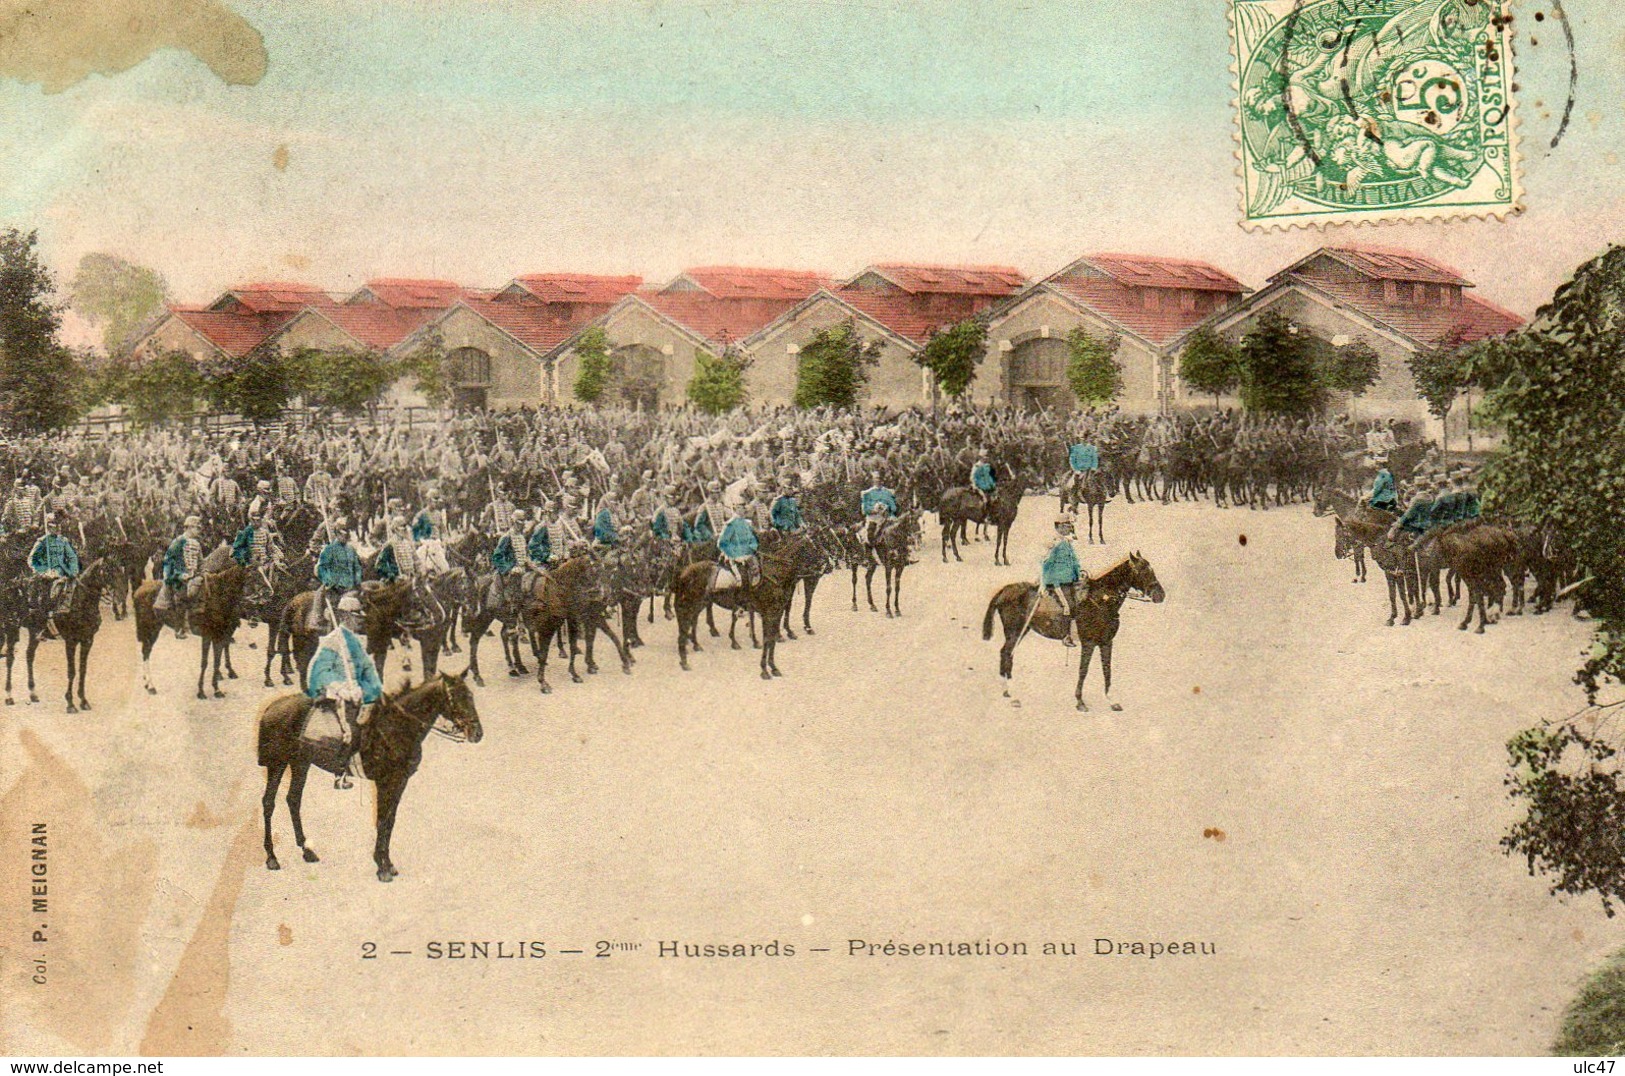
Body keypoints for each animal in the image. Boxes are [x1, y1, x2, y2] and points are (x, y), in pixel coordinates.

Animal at [255, 676, 481, 884]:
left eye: (471, 696)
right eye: (455, 698)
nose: (478, 733)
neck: (396, 726)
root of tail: (271, 708)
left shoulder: (400, 781)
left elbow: (390, 821)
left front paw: (387, 863)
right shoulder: (384, 782)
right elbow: (381, 821)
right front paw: (382, 867)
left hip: (300, 762)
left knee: (293, 800)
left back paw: (306, 850)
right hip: (278, 763)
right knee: (269, 803)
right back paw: (272, 857)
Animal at [981, 555, 1163, 715]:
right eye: (1143, 571)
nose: (1161, 595)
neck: (1101, 599)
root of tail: (1004, 590)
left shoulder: (1106, 642)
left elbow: (1107, 670)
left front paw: (1111, 701)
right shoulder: (1088, 642)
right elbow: (1083, 670)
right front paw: (1080, 702)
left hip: (1021, 631)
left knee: (1007, 654)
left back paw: (1007, 692)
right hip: (1015, 631)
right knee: (1006, 654)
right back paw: (1012, 694)